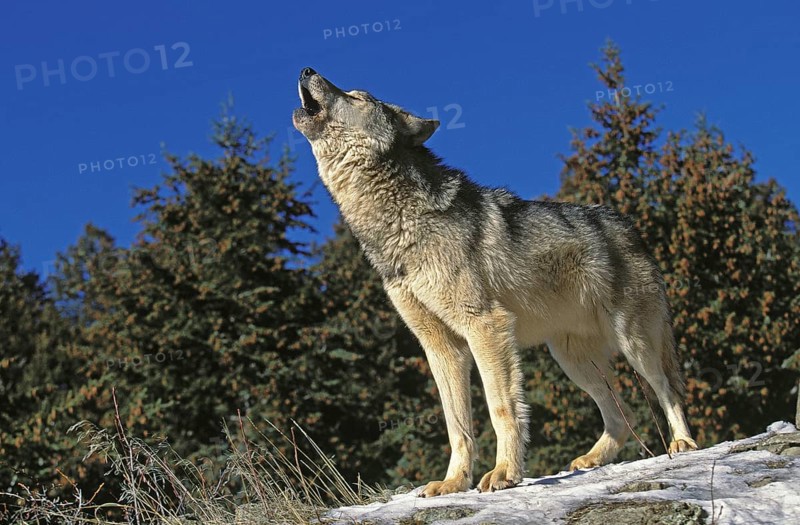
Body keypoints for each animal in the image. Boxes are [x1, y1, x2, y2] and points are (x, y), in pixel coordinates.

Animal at [292, 67, 697, 497]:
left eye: (359, 97)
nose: (306, 70)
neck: (397, 225)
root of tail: (630, 227)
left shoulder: (486, 326)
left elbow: (501, 408)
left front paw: (505, 473)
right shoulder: (441, 347)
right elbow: (457, 426)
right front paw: (453, 482)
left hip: (633, 342)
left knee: (667, 389)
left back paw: (682, 443)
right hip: (572, 360)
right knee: (623, 414)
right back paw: (591, 460)